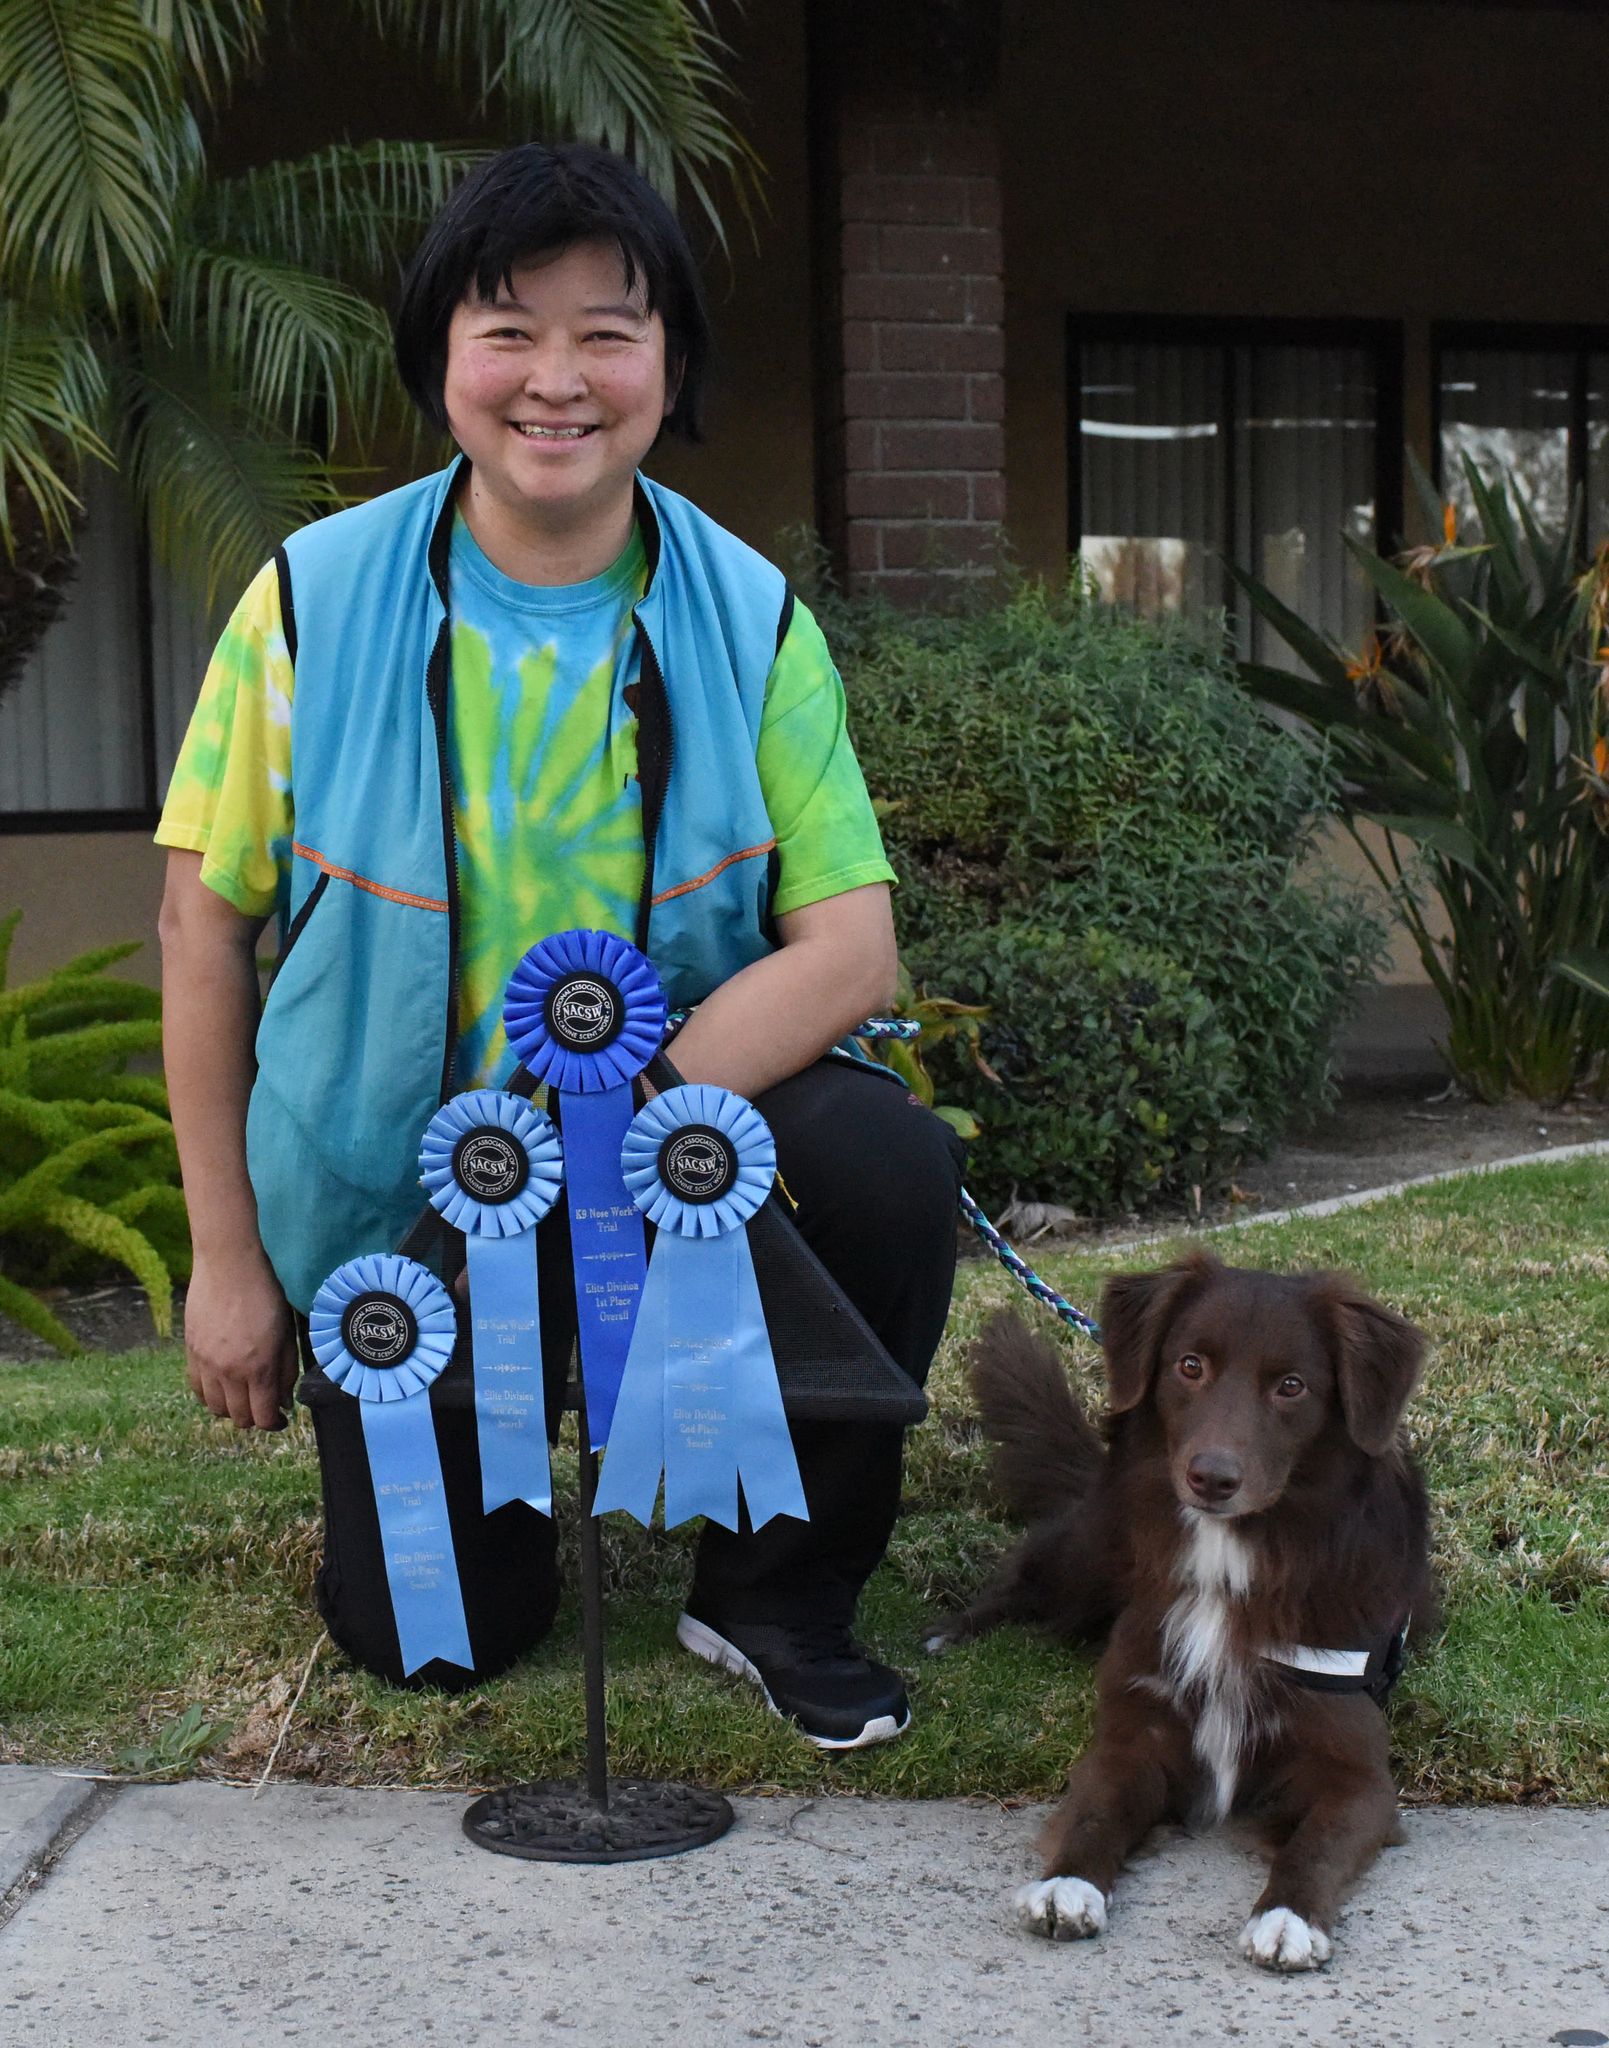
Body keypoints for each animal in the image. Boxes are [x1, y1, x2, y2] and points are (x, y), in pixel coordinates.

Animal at [941, 1245, 1432, 1966]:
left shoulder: (1357, 1773)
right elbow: (1096, 1809)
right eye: (1190, 1366)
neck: (1232, 1563)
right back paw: (952, 1634)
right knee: (1025, 1577)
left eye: (1292, 1386)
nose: (1211, 1478)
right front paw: (1067, 1883)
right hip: (1091, 1551)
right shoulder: (1135, 1728)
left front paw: (1287, 1916)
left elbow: (1316, 1845)